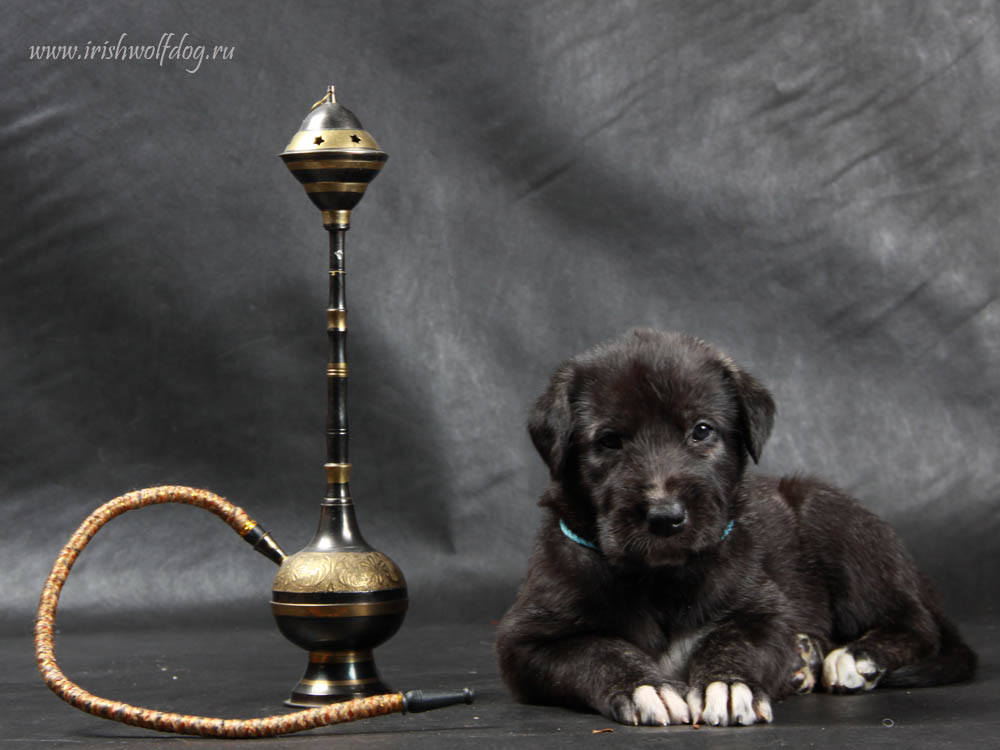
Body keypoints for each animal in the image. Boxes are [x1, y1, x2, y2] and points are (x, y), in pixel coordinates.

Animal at [496, 330, 980, 728]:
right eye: (609, 441)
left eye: (701, 431)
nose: (666, 516)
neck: (659, 579)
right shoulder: (526, 642)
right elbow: (598, 651)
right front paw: (647, 687)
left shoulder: (764, 609)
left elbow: (737, 640)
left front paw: (728, 685)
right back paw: (806, 661)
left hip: (832, 516)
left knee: (917, 623)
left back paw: (855, 656)